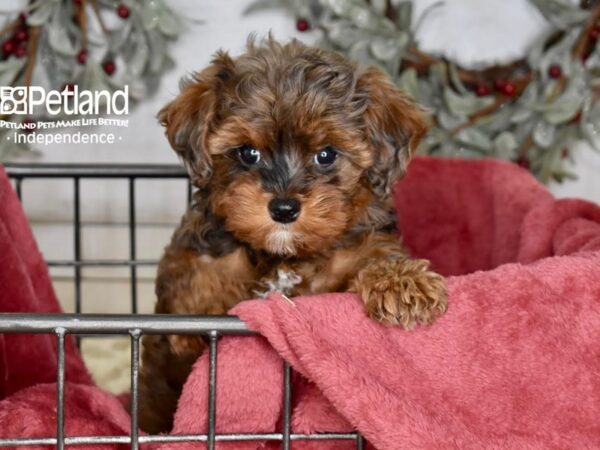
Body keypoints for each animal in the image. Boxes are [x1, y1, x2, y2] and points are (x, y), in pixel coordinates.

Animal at [139, 37, 446, 432]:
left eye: (326, 155)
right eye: (248, 153)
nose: (284, 208)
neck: (284, 255)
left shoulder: (361, 244)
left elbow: (377, 255)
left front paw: (403, 283)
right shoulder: (199, 251)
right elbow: (197, 279)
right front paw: (197, 316)